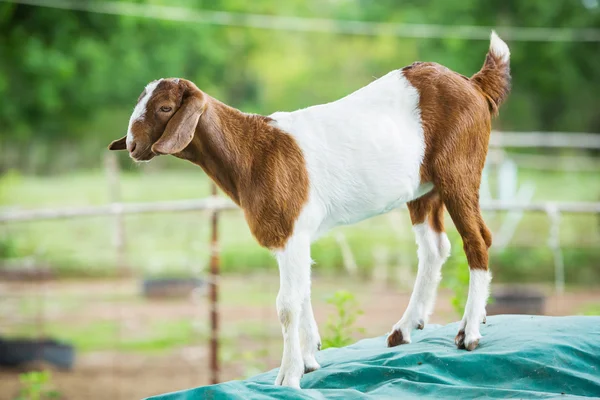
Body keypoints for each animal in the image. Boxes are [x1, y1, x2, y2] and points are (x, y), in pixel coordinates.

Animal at [108, 32, 510, 390]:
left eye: (164, 108)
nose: (133, 146)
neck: (252, 151)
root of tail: (473, 85)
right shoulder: (295, 237)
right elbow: (302, 294)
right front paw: (310, 357)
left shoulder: (289, 231)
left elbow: (287, 305)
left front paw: (288, 376)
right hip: (424, 189)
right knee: (434, 248)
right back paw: (405, 328)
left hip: (459, 170)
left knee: (477, 240)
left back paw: (469, 332)